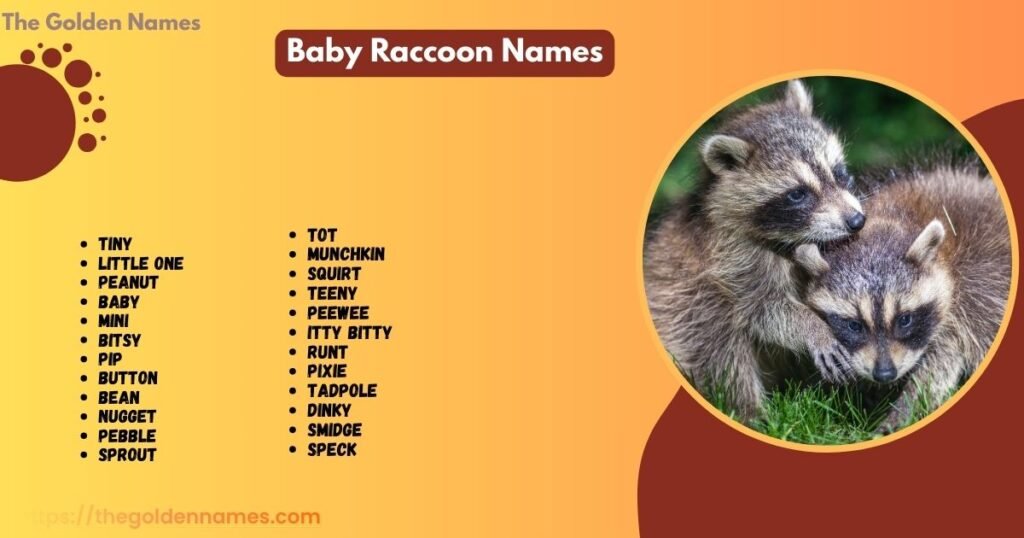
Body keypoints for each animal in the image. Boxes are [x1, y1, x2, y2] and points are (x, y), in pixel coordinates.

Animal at [644, 80, 866, 420]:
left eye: (839, 172)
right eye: (797, 194)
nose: (856, 221)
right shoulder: (730, 259)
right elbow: (762, 310)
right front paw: (813, 327)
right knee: (717, 340)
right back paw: (752, 412)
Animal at [794, 164, 1011, 431]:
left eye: (904, 319)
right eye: (854, 325)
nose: (885, 374)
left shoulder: (973, 298)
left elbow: (937, 368)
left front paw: (902, 414)